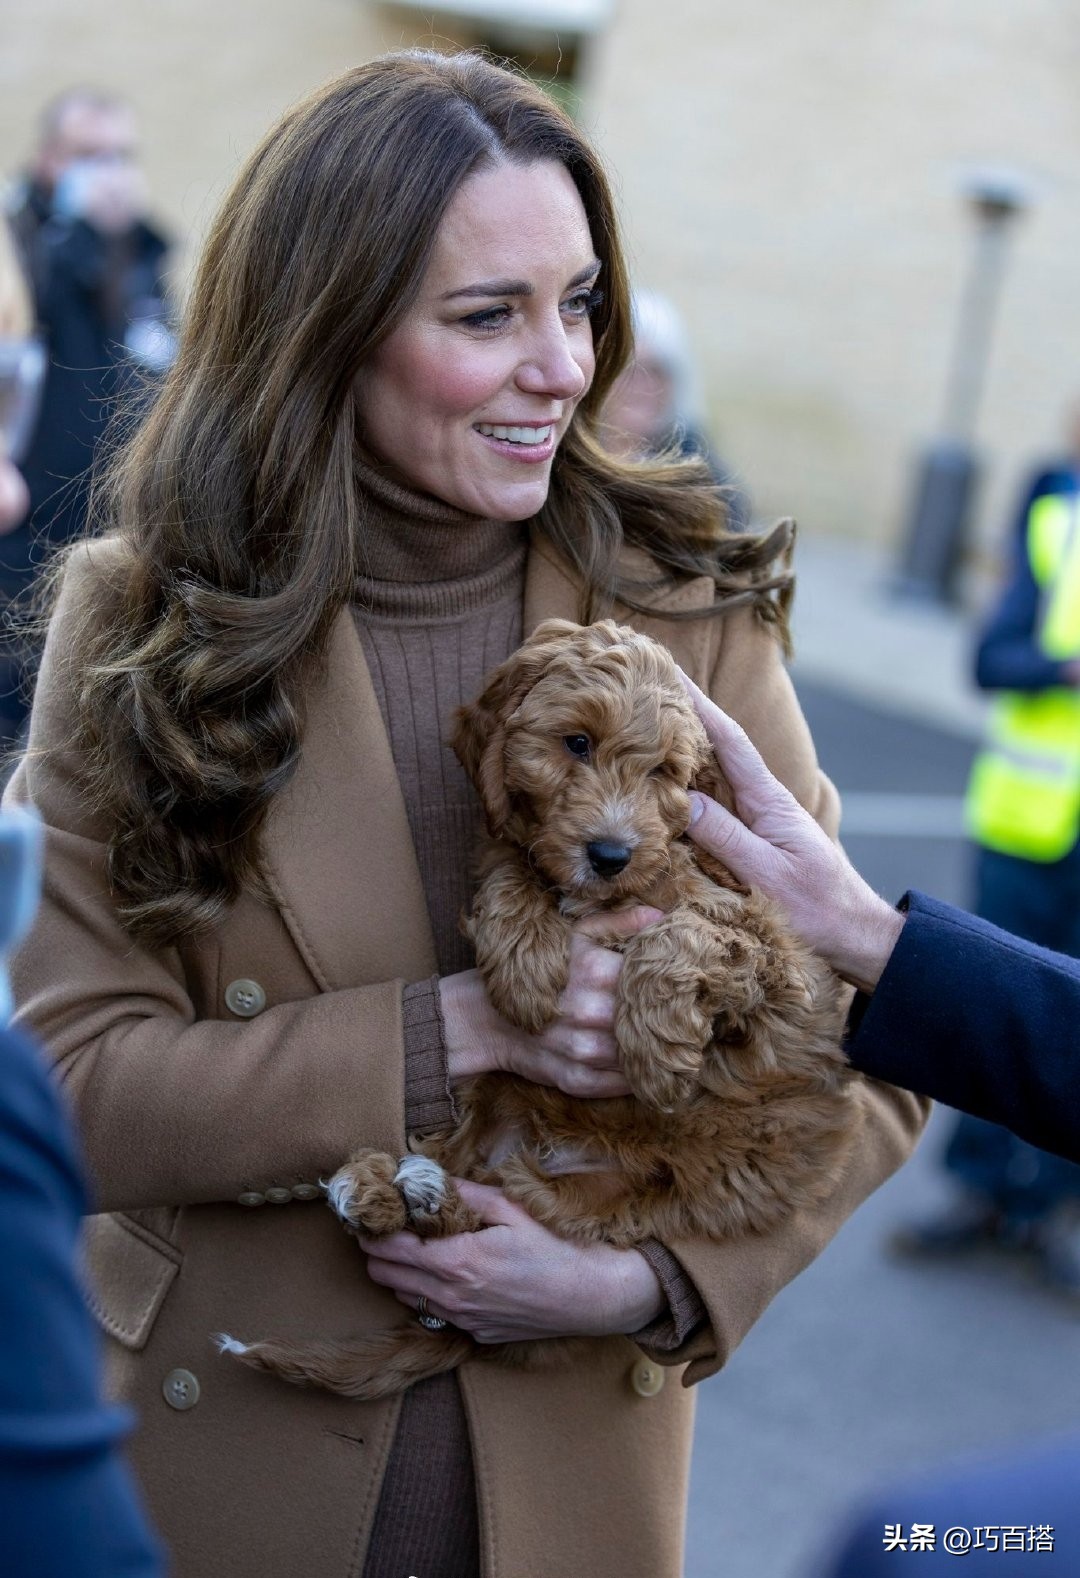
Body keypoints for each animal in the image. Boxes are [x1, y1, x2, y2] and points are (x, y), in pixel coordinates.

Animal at [224, 621, 865, 1401]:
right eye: (577, 743)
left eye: (664, 771)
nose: (611, 853)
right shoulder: (519, 849)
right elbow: (512, 870)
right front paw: (526, 965)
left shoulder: (780, 962)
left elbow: (684, 933)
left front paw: (654, 1052)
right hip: (490, 1098)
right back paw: (385, 1187)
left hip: (610, 1206)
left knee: (506, 1218)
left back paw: (414, 1195)